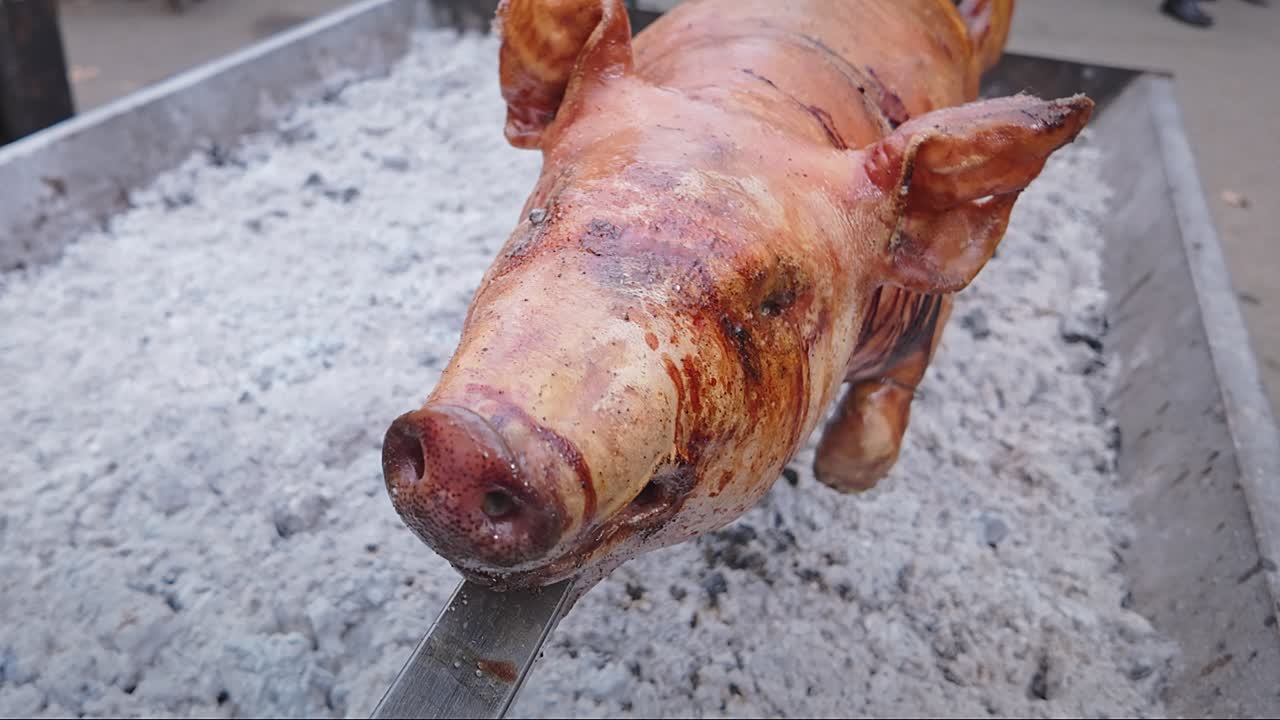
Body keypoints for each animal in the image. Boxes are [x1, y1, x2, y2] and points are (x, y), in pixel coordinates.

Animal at [380, 0, 1093, 593]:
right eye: (537, 215)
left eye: (777, 298)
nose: (466, 443)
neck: (754, 101)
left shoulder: (926, 318)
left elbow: (888, 399)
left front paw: (839, 479)